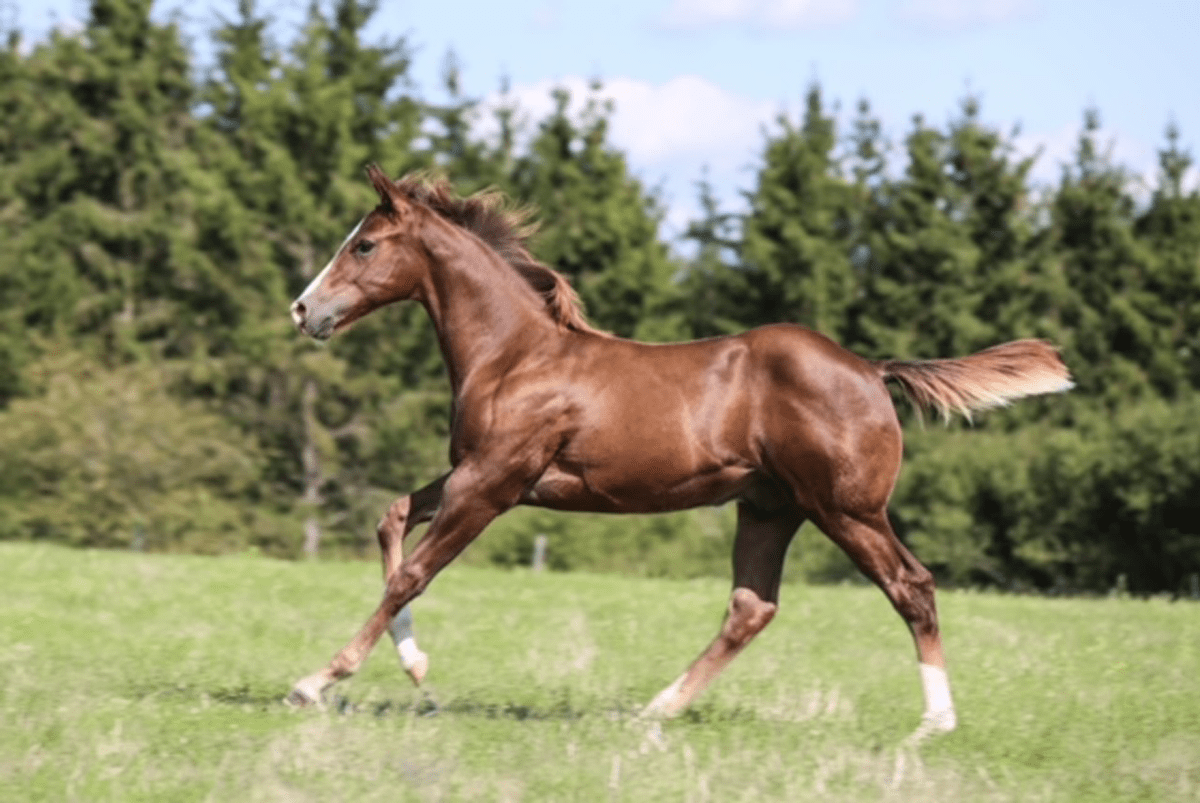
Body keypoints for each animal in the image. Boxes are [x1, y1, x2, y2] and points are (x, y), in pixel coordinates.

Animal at [286, 165, 1073, 738]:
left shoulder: (491, 483)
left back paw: (935, 723)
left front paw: (315, 682)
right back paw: (655, 709)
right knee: (751, 607)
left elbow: (411, 574)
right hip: (770, 509)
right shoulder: (478, 474)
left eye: (363, 244)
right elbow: (392, 519)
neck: (515, 355)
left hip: (847, 509)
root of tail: (873, 369)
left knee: (911, 585)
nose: (302, 310)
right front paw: (417, 668)